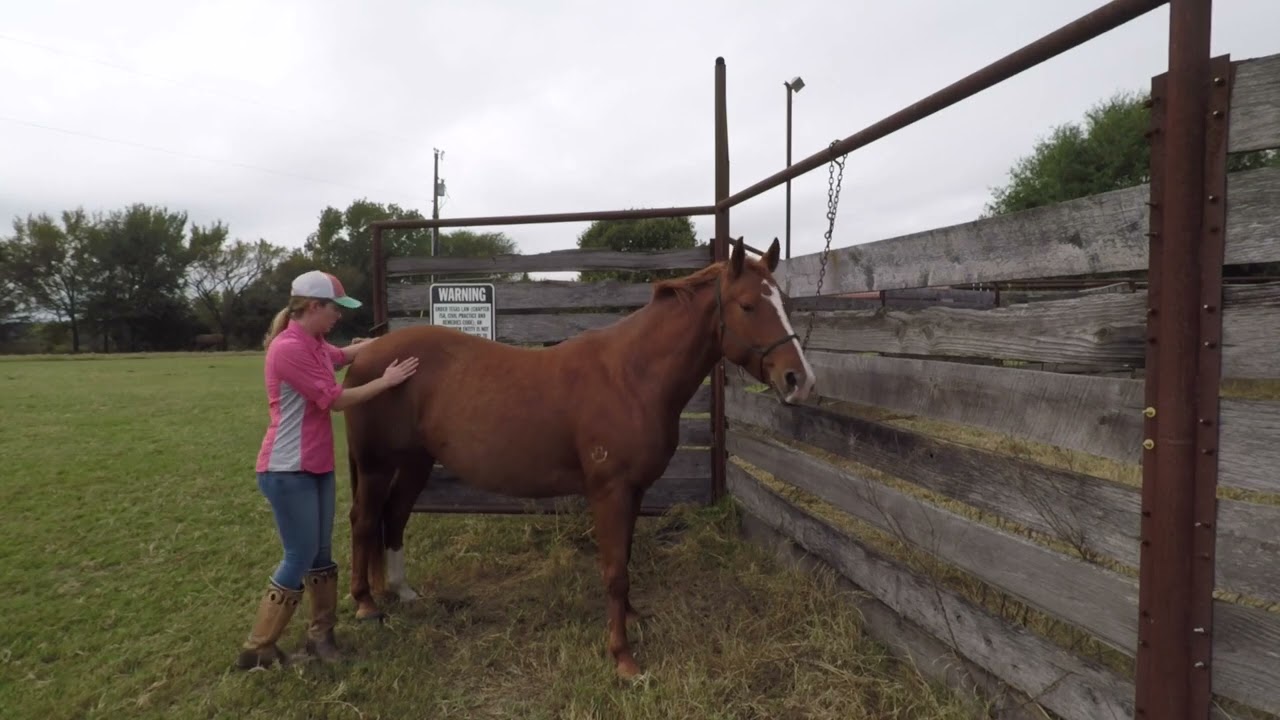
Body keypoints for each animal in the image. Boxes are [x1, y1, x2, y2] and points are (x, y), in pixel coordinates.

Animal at [340, 235, 817, 678]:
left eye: (785, 302)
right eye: (748, 305)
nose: (800, 380)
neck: (631, 376)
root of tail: (366, 353)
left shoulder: (634, 491)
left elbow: (624, 558)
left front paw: (631, 617)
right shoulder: (610, 491)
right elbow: (614, 570)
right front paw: (623, 658)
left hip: (415, 462)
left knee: (394, 517)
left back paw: (400, 591)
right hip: (377, 465)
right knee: (365, 521)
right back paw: (365, 604)